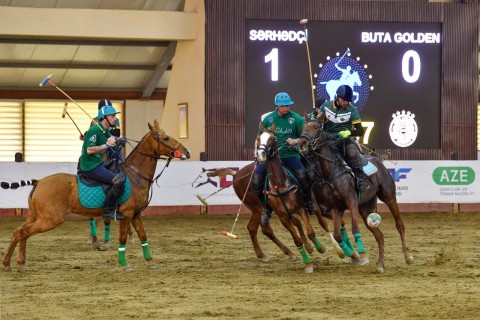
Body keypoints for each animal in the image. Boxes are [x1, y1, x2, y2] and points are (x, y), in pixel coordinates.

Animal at [2, 120, 189, 272]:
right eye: (165, 138)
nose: (186, 152)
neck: (135, 175)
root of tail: (39, 182)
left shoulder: (136, 214)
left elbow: (143, 236)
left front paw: (150, 262)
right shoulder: (126, 214)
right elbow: (122, 238)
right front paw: (124, 264)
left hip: (35, 215)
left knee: (18, 231)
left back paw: (9, 263)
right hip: (50, 219)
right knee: (23, 232)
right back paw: (18, 263)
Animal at [298, 120, 414, 272]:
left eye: (316, 127)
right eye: (303, 127)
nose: (302, 142)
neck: (332, 173)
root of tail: (378, 160)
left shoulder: (351, 202)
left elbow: (354, 228)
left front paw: (362, 256)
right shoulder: (336, 208)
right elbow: (337, 235)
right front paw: (353, 255)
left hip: (388, 196)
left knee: (399, 225)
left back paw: (408, 256)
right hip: (366, 208)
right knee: (380, 236)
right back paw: (380, 265)